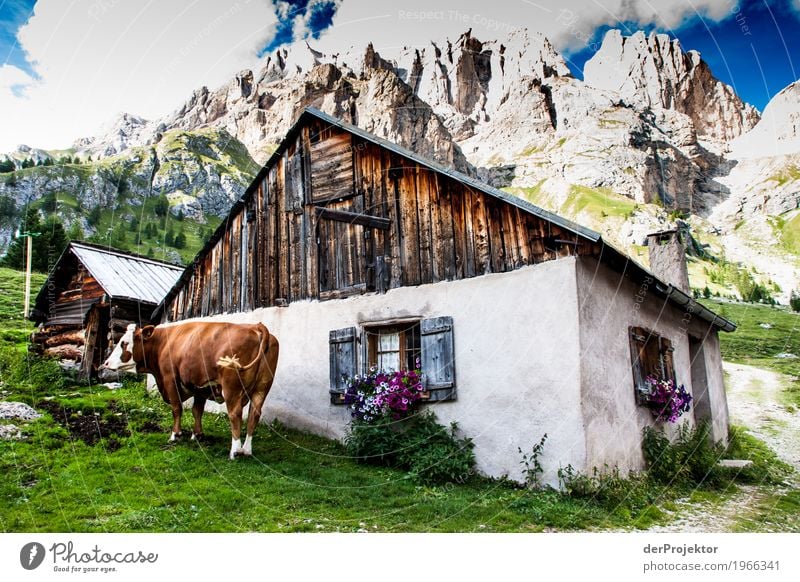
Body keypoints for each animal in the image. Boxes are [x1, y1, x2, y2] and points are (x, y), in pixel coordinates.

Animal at [101, 324, 280, 460]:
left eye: (124, 343)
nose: (106, 362)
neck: (163, 342)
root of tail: (256, 326)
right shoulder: (200, 387)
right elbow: (197, 411)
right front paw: (197, 435)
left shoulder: (170, 379)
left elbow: (177, 409)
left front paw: (175, 435)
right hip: (262, 388)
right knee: (254, 414)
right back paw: (247, 450)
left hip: (232, 388)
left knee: (235, 414)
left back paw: (235, 451)